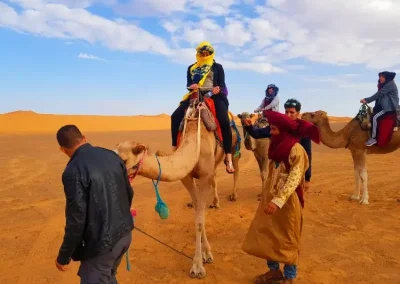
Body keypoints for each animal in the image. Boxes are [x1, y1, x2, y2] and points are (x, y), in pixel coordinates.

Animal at [115, 98, 241, 278]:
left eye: (124, 160)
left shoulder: (204, 175)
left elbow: (200, 220)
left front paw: (198, 267)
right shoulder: (187, 177)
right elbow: (198, 213)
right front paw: (205, 254)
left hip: (233, 147)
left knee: (234, 170)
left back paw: (232, 195)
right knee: (215, 178)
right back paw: (215, 202)